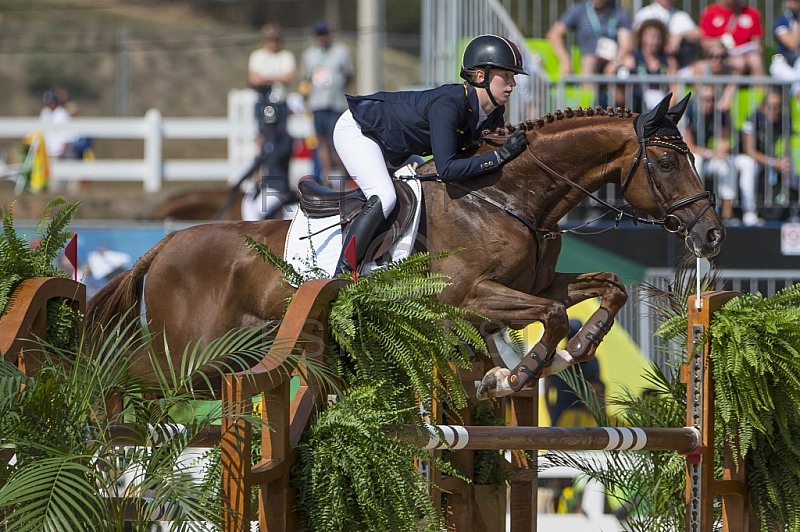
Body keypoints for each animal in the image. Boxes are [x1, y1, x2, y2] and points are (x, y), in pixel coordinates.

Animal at [86, 93, 724, 396]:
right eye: (669, 161)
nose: (712, 233)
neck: (506, 197)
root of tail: (166, 245)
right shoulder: (468, 298)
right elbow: (549, 317)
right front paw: (512, 377)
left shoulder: (534, 284)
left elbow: (607, 290)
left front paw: (572, 353)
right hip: (186, 353)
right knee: (125, 375)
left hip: (223, 355)